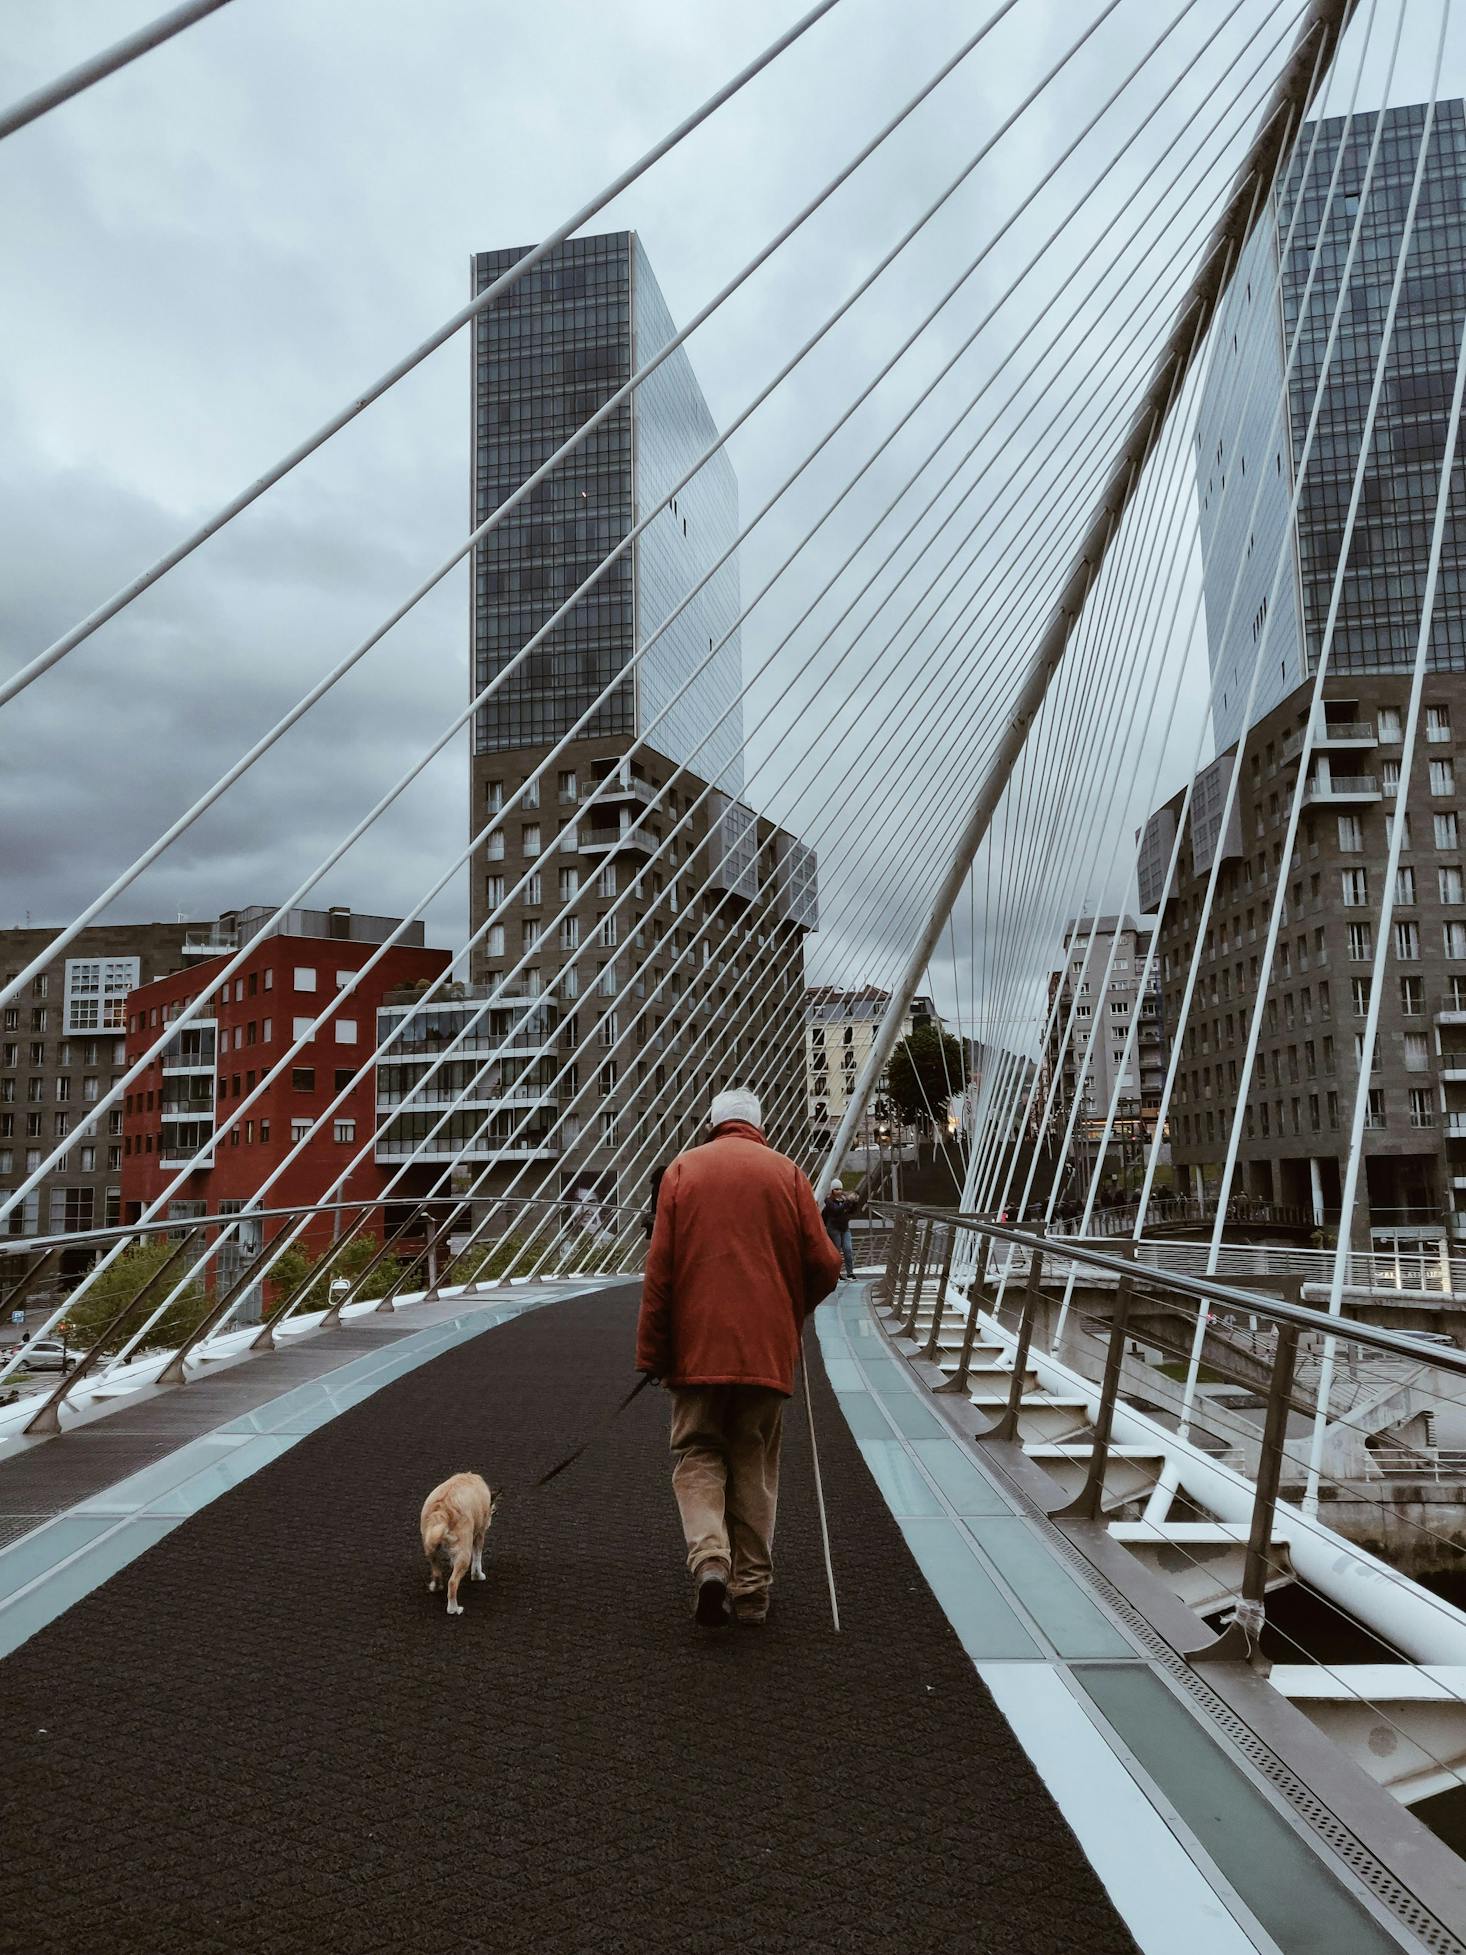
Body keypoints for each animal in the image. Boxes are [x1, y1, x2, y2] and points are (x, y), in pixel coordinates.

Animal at [422, 1470, 496, 1610]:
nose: (491, 1520)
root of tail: (441, 1510)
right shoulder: (480, 1534)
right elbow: (477, 1559)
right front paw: (478, 1576)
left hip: (430, 1547)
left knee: (436, 1571)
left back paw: (436, 1586)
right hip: (464, 1553)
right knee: (452, 1583)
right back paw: (454, 1609)